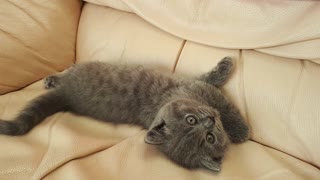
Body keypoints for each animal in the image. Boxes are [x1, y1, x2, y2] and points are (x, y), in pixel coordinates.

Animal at [0, 57, 248, 172]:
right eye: (191, 120)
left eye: (209, 137)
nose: (210, 121)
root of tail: (67, 96)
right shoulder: (198, 87)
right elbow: (221, 98)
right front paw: (243, 130)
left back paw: (51, 80)